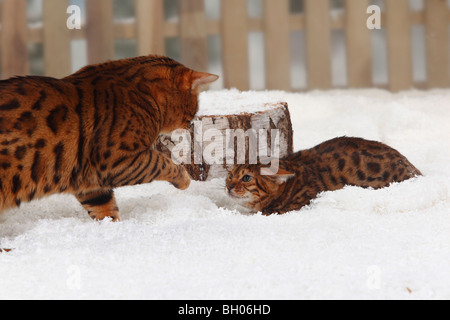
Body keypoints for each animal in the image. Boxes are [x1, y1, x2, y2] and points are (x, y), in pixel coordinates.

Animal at [0, 55, 218, 221]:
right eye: (193, 112)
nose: (190, 124)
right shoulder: (115, 160)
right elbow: (161, 162)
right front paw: (184, 180)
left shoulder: (88, 180)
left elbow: (104, 207)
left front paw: (112, 230)